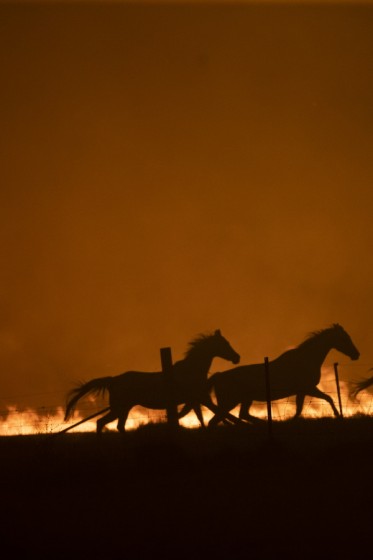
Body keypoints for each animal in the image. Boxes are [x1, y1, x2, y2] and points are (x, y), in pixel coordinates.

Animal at [63, 330, 238, 436]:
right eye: (225, 344)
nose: (237, 357)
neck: (190, 371)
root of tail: (113, 380)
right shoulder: (200, 398)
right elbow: (216, 413)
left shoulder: (195, 400)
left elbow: (202, 417)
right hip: (119, 407)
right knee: (102, 422)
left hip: (124, 408)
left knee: (118, 426)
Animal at [205, 322, 358, 426]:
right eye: (345, 338)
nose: (357, 354)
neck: (306, 359)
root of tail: (218, 376)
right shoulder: (308, 388)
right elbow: (328, 399)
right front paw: (338, 415)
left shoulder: (302, 391)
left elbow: (300, 409)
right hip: (230, 402)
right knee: (218, 420)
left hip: (244, 400)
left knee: (241, 415)